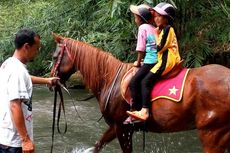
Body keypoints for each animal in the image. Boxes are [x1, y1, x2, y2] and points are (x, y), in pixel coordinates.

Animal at [50, 33, 230, 153]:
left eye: (54, 56)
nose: (52, 81)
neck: (111, 79)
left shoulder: (122, 128)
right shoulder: (118, 127)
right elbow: (97, 145)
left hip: (212, 134)